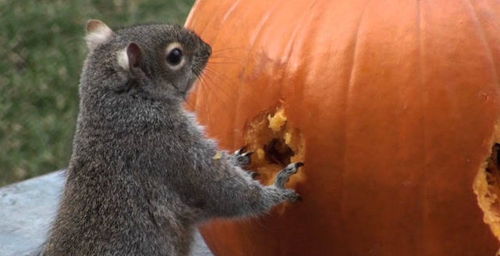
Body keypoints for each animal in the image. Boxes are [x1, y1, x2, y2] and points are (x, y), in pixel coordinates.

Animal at [37, 20, 302, 256]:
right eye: (175, 56)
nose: (208, 48)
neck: (122, 109)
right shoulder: (170, 147)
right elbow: (226, 192)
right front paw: (277, 189)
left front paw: (236, 158)